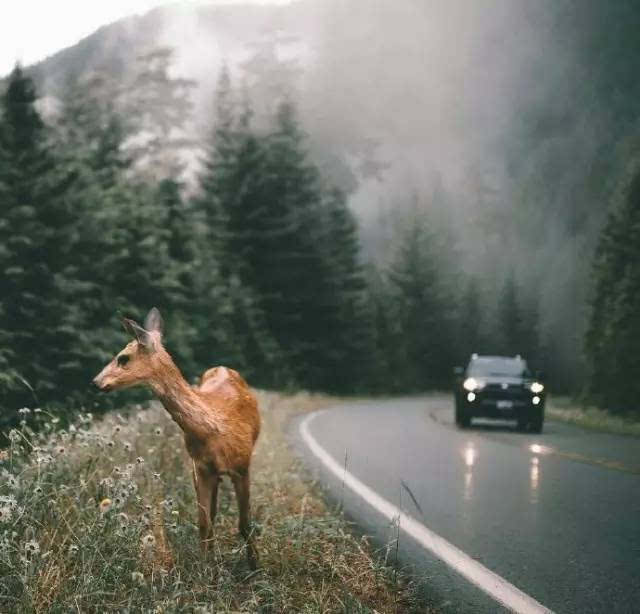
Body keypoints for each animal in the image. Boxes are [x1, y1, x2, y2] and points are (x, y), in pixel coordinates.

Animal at [92, 310, 260, 572]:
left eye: (123, 358)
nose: (96, 382)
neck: (214, 429)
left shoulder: (243, 467)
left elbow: (244, 524)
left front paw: (255, 568)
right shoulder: (201, 468)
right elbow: (204, 525)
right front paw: (207, 571)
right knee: (211, 515)